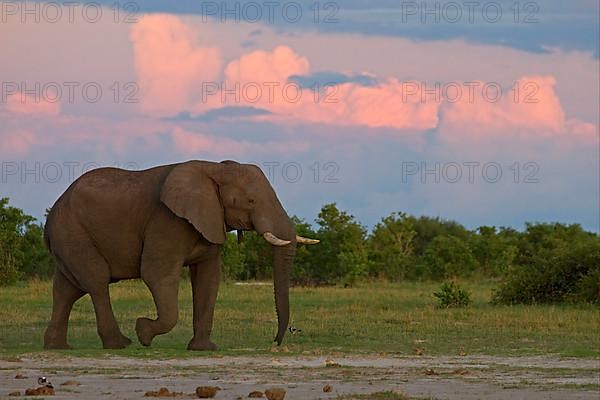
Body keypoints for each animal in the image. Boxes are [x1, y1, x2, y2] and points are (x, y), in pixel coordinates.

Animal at [42, 159, 318, 350]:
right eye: (250, 201)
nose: (275, 341)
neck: (214, 169)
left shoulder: (210, 219)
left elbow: (209, 278)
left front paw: (204, 349)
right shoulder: (168, 220)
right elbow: (157, 274)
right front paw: (143, 332)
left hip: (68, 237)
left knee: (67, 289)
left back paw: (57, 346)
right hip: (72, 231)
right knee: (97, 281)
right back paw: (121, 344)